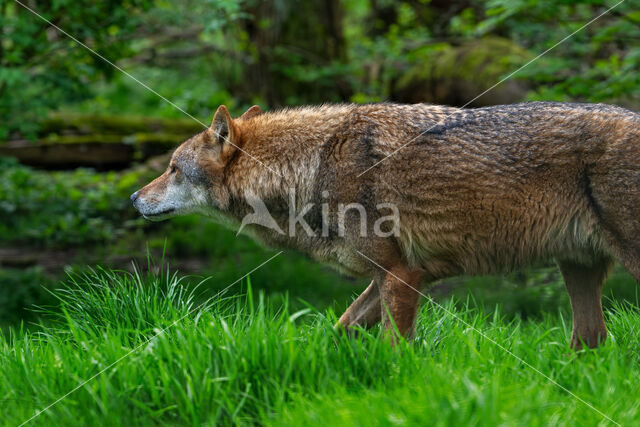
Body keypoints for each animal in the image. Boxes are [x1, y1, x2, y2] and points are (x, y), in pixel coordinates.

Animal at [130, 102, 640, 350]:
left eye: (173, 169)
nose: (133, 198)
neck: (310, 166)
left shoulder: (401, 276)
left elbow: (396, 351)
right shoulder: (387, 278)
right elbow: (339, 331)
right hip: (578, 271)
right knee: (592, 341)